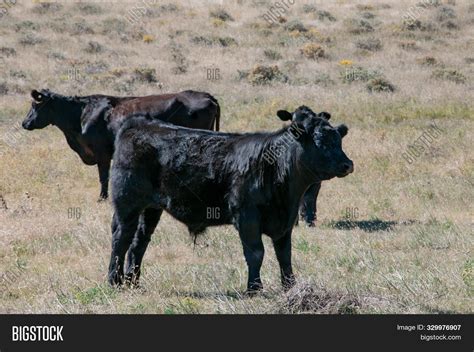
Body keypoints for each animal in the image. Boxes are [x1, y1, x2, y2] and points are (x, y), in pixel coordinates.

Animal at [21, 89, 220, 201]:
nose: (24, 123)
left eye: (34, 105)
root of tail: (206, 95)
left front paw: (102, 198)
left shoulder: (102, 153)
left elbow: (104, 177)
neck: (82, 115)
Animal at [108, 106, 352, 292]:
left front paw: (289, 286)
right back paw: (114, 281)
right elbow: (256, 253)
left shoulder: (285, 222)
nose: (347, 164)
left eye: (338, 139)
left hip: (150, 208)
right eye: (320, 140)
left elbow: (285, 255)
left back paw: (133, 282)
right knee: (121, 238)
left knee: (139, 242)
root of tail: (138, 122)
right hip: (126, 203)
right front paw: (254, 288)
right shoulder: (246, 217)